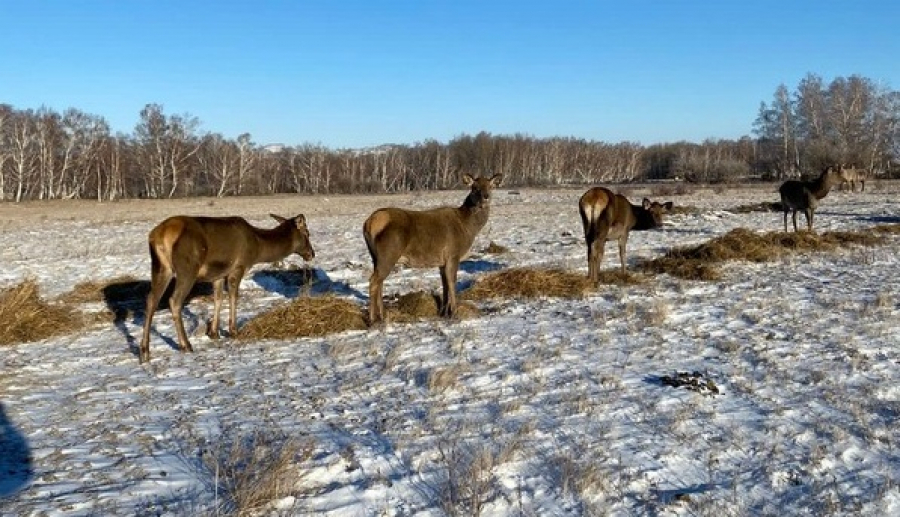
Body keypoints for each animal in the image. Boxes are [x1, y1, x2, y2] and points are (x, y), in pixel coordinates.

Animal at [137, 211, 312, 362]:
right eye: (307, 233)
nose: (312, 253)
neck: (258, 247)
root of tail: (159, 235)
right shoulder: (238, 267)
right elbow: (234, 297)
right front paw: (233, 330)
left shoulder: (218, 275)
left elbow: (218, 299)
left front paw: (214, 332)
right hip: (187, 268)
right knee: (174, 301)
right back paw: (185, 345)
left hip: (161, 267)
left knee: (151, 299)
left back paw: (144, 351)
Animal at [366, 173, 506, 322]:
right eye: (475, 188)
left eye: (490, 186)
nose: (486, 197)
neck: (468, 228)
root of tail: (370, 223)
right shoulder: (453, 254)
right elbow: (452, 281)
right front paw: (454, 312)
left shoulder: (442, 261)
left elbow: (444, 283)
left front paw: (443, 312)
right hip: (389, 253)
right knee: (374, 281)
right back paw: (372, 318)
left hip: (375, 257)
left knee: (379, 281)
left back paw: (381, 315)